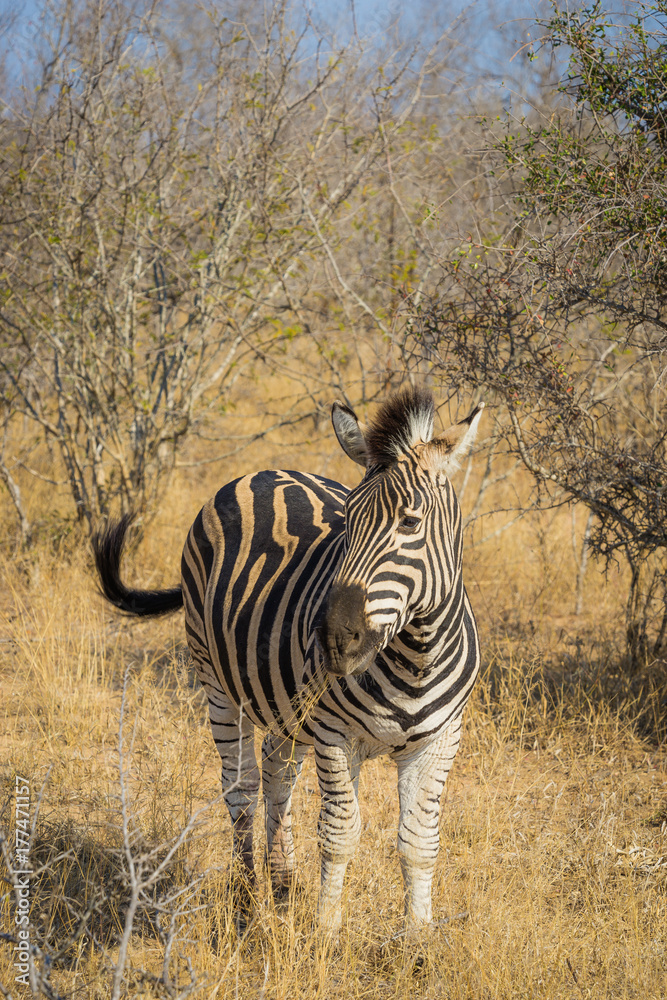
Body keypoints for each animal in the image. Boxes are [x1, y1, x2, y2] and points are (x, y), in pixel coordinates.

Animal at [93, 387, 483, 934]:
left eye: (410, 522)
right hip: (216, 682)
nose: (334, 641)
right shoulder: (336, 735)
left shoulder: (441, 739)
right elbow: (340, 833)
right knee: (240, 787)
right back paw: (244, 900)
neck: (415, 655)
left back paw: (282, 885)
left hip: (289, 708)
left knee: (277, 774)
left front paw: (419, 937)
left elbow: (419, 841)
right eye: (346, 524)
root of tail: (262, 472)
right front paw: (327, 933)